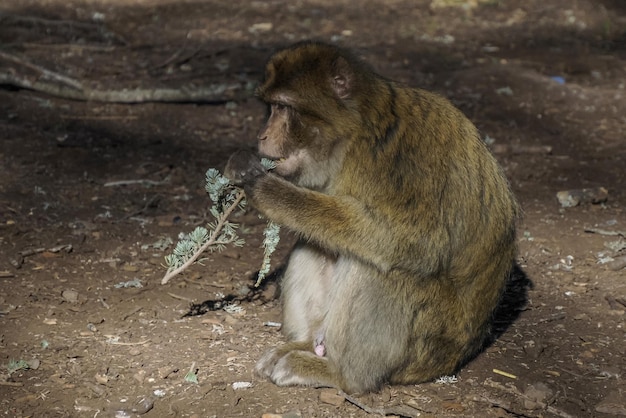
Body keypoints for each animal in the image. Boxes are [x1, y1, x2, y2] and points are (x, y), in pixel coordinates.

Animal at [224, 42, 516, 396]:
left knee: (387, 268)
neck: (355, 135)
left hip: (429, 349)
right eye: (269, 107)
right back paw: (308, 346)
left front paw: (265, 189)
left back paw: (343, 375)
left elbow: (417, 241)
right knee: (316, 243)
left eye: (282, 107)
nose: (263, 135)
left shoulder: (407, 156)